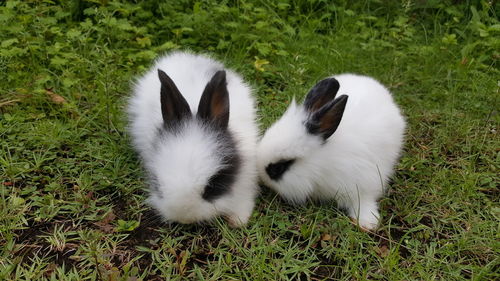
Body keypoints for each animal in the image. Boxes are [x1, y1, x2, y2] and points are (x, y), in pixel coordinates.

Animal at [258, 73, 406, 229]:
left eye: (280, 167)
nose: (263, 178)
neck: (322, 165)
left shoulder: (363, 182)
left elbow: (363, 201)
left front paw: (368, 222)